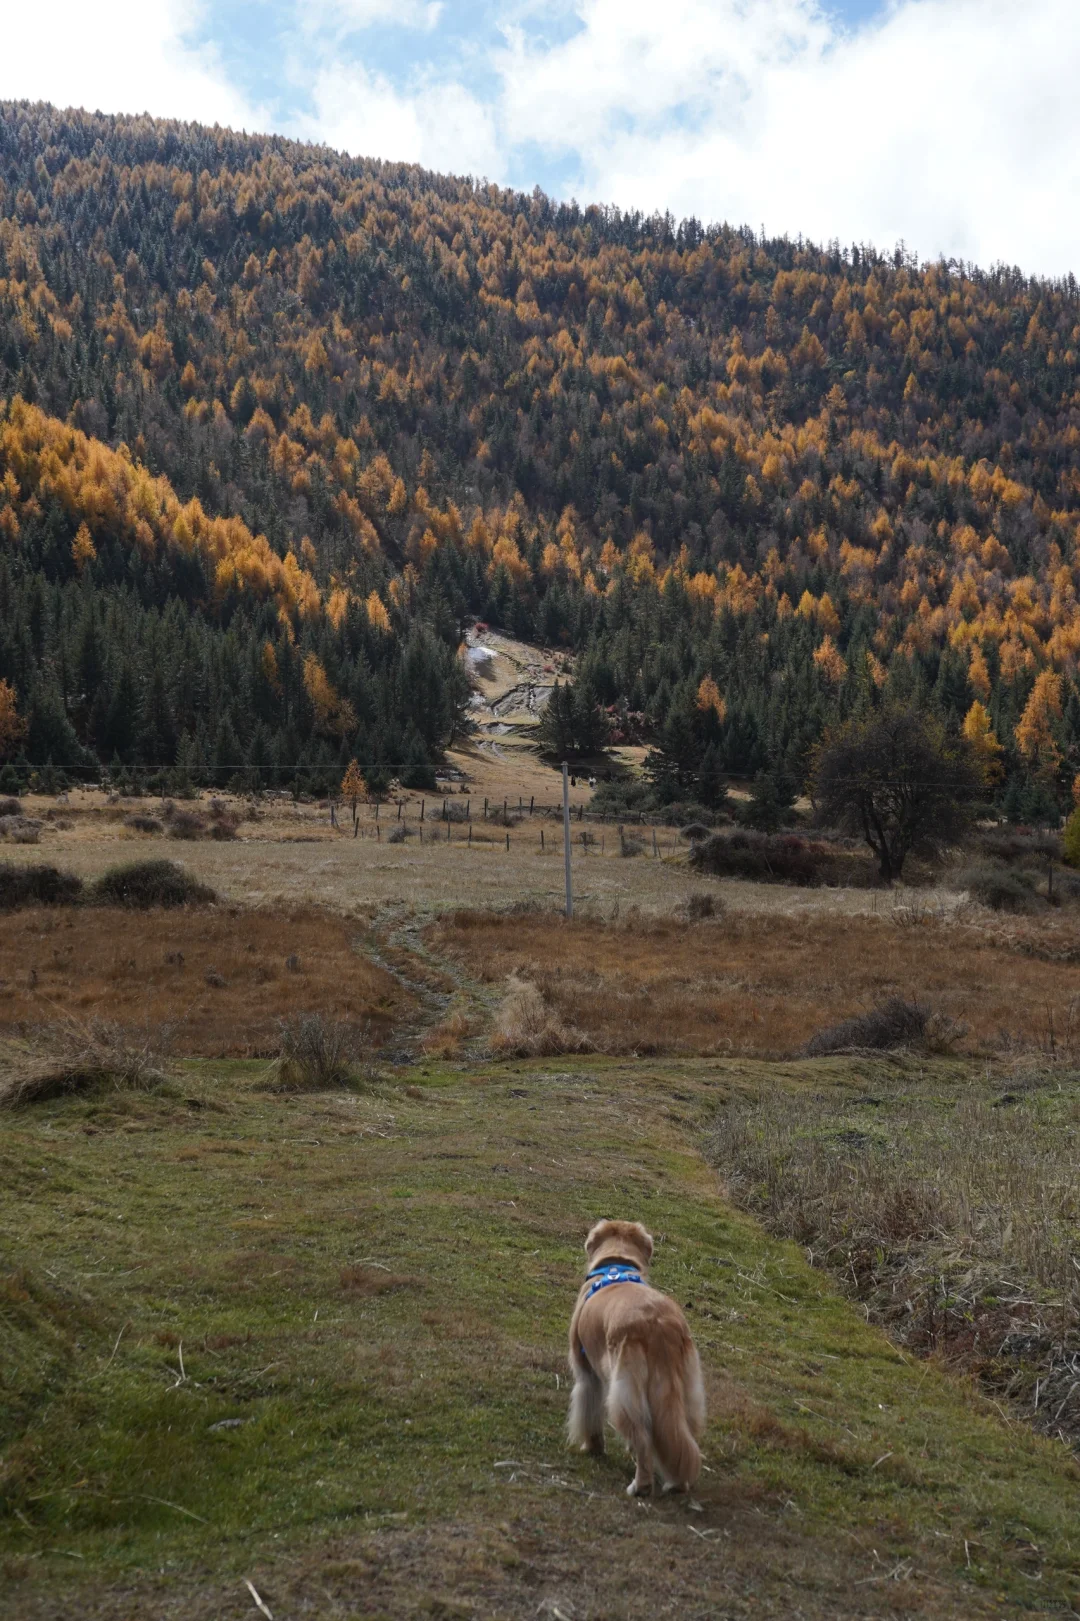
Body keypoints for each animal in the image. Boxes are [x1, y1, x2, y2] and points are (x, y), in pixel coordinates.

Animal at [567, 1219, 705, 1496]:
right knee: (679, 1440)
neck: (616, 1265)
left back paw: (640, 1485)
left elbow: (590, 1414)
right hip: (686, 1392)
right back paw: (677, 1482)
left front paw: (592, 1447)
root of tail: (658, 1325)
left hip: (624, 1393)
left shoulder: (587, 1374)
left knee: (643, 1437)